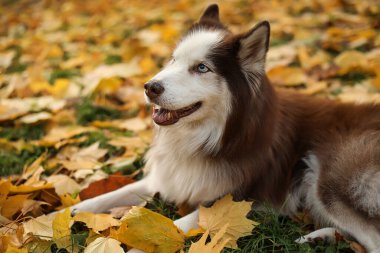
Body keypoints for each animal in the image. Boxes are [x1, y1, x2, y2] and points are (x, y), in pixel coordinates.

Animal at [73, 4, 380, 253]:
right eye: (173, 59)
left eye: (202, 68)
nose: (150, 87)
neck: (207, 136)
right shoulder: (168, 177)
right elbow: (111, 195)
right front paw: (68, 212)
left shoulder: (236, 198)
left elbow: (178, 224)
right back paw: (321, 238)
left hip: (328, 180)